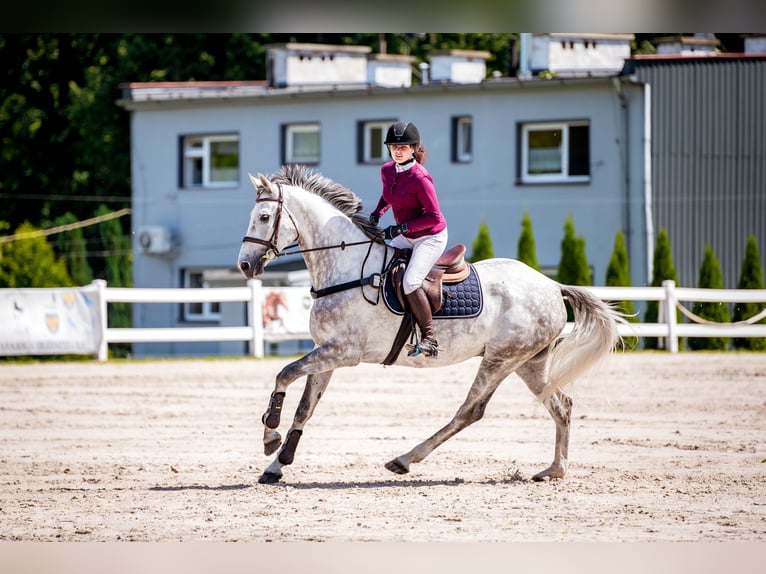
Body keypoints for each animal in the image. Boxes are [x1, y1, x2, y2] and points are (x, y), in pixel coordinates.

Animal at [238, 166, 624, 486]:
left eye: (264, 216)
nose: (244, 265)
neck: (346, 267)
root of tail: (552, 285)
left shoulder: (342, 352)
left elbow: (284, 374)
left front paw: (270, 435)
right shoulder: (326, 354)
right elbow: (305, 406)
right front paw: (277, 464)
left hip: (501, 359)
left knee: (470, 411)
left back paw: (405, 459)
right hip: (529, 362)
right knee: (561, 404)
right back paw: (554, 470)